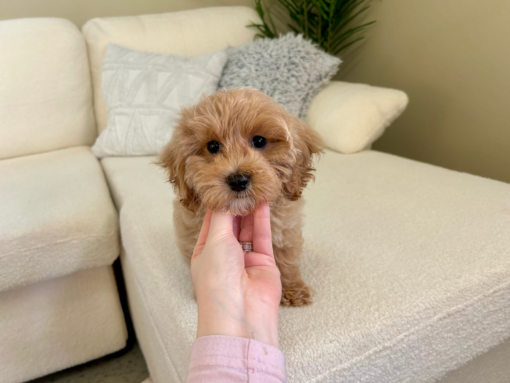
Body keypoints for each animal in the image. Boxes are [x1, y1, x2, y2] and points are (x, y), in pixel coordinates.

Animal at [158, 88, 322, 308]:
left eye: (259, 141)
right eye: (212, 146)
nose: (238, 180)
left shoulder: (286, 230)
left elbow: (286, 259)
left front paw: (293, 289)